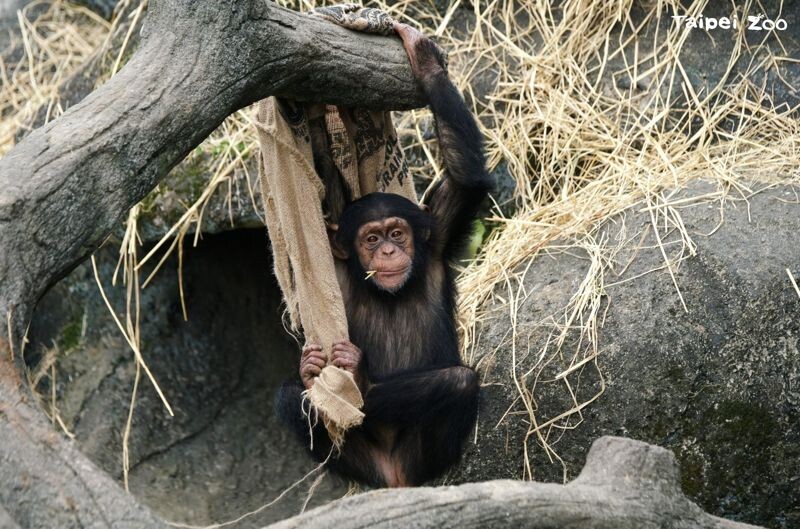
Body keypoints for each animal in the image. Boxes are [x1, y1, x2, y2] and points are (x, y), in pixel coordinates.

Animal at [278, 21, 496, 486]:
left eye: (396, 232)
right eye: (371, 240)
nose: (391, 249)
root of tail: (394, 475)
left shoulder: (438, 231)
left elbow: (465, 177)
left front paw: (426, 62)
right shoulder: (336, 259)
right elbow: (325, 196)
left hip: (421, 459)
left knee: (458, 382)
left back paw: (360, 383)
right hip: (365, 463)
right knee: (290, 395)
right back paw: (315, 378)